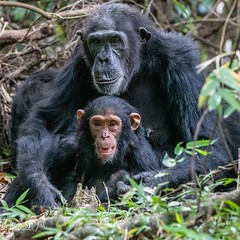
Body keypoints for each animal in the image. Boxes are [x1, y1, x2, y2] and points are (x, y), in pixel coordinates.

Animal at [3, 3, 238, 210]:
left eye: (115, 40)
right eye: (96, 42)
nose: (104, 59)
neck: (139, 65)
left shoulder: (183, 64)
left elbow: (208, 146)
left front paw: (149, 181)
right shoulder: (78, 64)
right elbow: (45, 122)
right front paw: (41, 186)